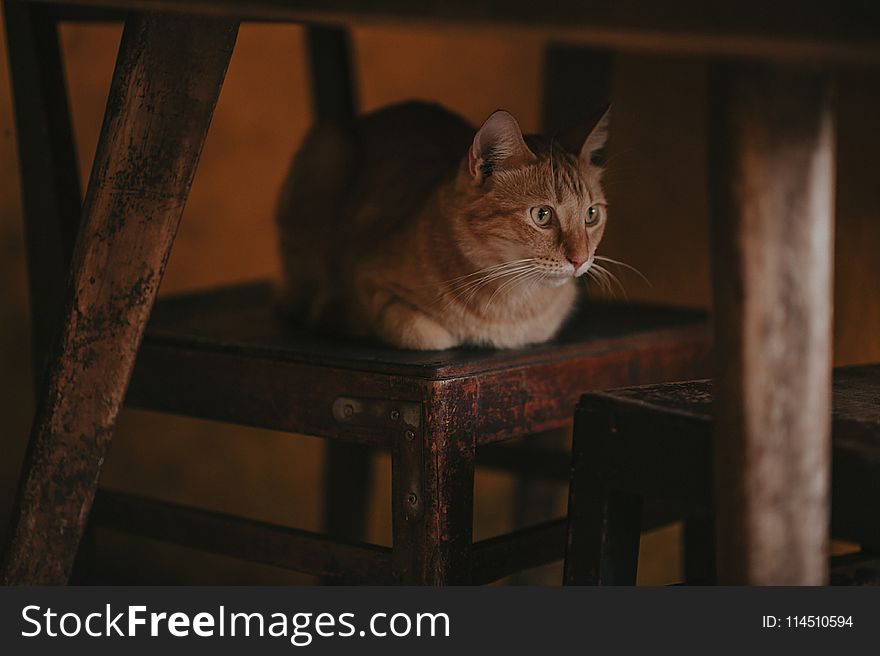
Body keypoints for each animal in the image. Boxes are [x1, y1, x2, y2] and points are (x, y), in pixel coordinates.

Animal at [278, 100, 608, 352]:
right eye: (542, 215)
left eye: (591, 214)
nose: (580, 260)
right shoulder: (366, 281)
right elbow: (425, 334)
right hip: (328, 152)